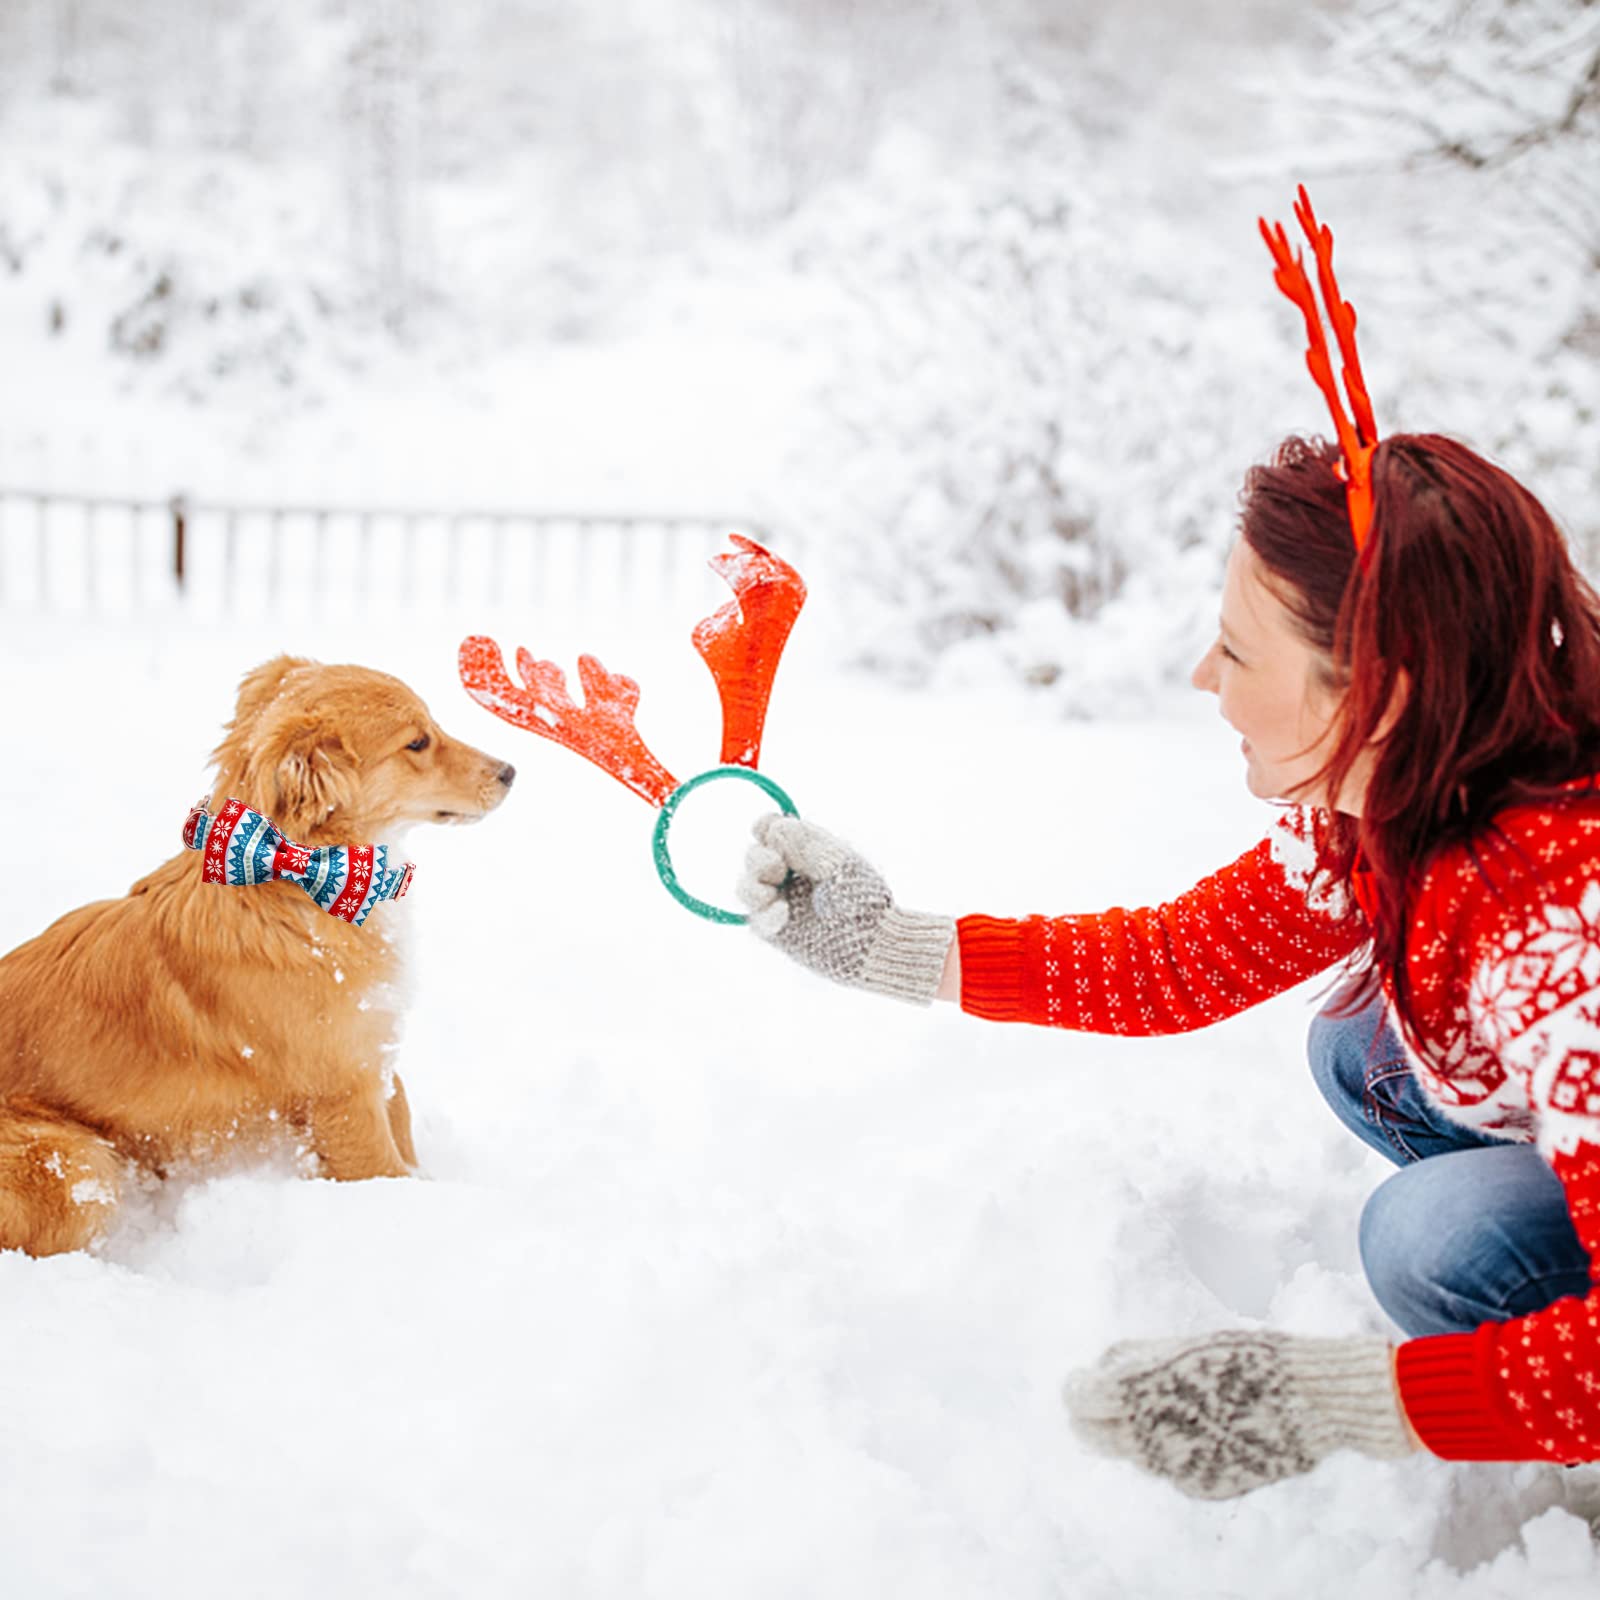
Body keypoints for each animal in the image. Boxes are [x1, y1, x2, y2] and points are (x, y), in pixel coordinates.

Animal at [0, 656, 512, 1254]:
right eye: (417, 742)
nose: (510, 771)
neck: (299, 884)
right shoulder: (343, 1096)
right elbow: (383, 1170)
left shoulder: (373, 1054)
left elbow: (403, 1114)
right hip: (77, 1169)